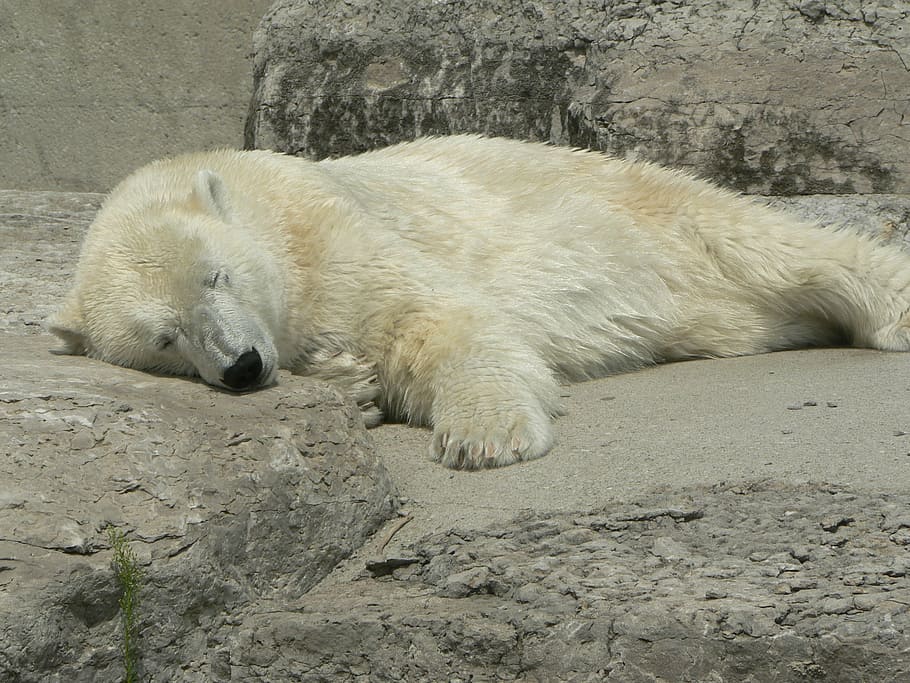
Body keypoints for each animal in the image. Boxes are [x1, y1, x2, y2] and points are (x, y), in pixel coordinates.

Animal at [49, 135, 910, 469]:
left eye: (215, 276)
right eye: (164, 340)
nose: (241, 364)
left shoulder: (335, 233)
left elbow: (435, 320)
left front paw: (483, 435)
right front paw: (345, 381)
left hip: (651, 210)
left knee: (777, 247)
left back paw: (890, 310)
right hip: (710, 305)